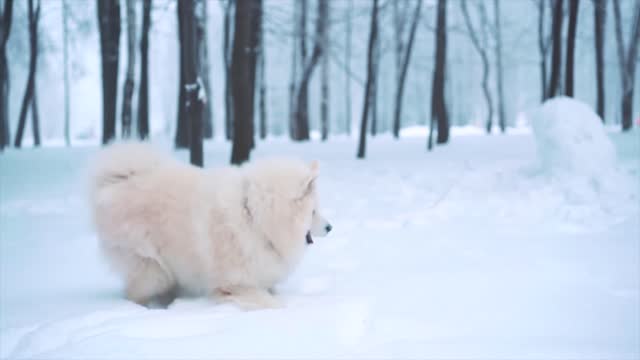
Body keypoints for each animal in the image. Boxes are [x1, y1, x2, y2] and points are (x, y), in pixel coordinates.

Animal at [89, 143, 330, 310]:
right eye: (314, 212)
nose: (330, 227)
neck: (253, 216)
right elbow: (268, 301)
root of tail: (118, 181)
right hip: (153, 269)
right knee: (135, 293)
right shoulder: (234, 283)